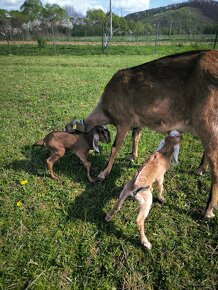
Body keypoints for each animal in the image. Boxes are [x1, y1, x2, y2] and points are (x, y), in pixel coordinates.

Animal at [75, 49, 218, 218]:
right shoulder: (138, 122)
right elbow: (136, 137)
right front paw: (133, 156)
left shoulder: (124, 121)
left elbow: (115, 147)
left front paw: (103, 173)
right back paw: (200, 169)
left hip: (208, 121)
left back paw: (208, 210)